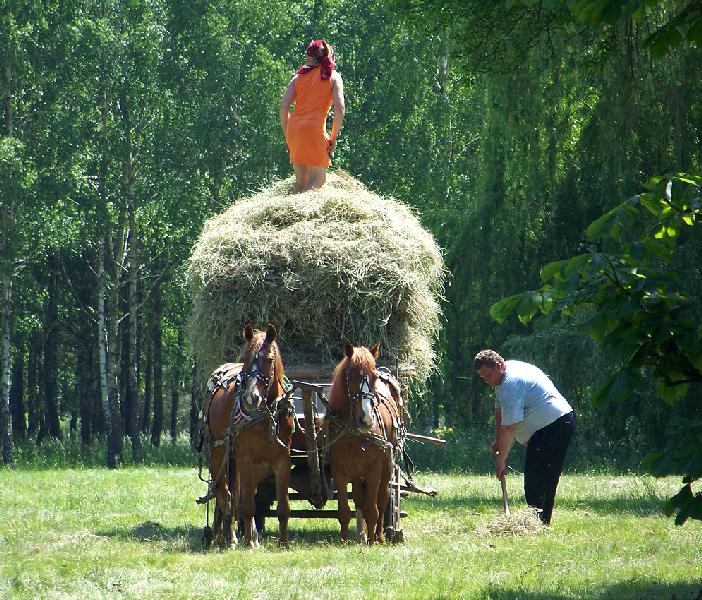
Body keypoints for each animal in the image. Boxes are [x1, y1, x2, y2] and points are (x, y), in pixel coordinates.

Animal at [204, 324, 294, 548]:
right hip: (219, 457)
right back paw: (229, 536)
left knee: (242, 495)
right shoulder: (245, 459)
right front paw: (249, 543)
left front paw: (283, 543)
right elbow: (246, 505)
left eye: (269, 359)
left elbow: (283, 506)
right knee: (225, 496)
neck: (266, 416)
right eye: (245, 358)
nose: (251, 398)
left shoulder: (282, 460)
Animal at [326, 342, 404, 544]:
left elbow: (373, 508)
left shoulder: (374, 469)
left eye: (374, 376)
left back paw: (379, 535)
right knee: (360, 498)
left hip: (387, 465)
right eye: (350, 376)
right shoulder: (339, 470)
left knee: (382, 498)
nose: (366, 419)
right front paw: (344, 541)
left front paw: (372, 540)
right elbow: (344, 510)